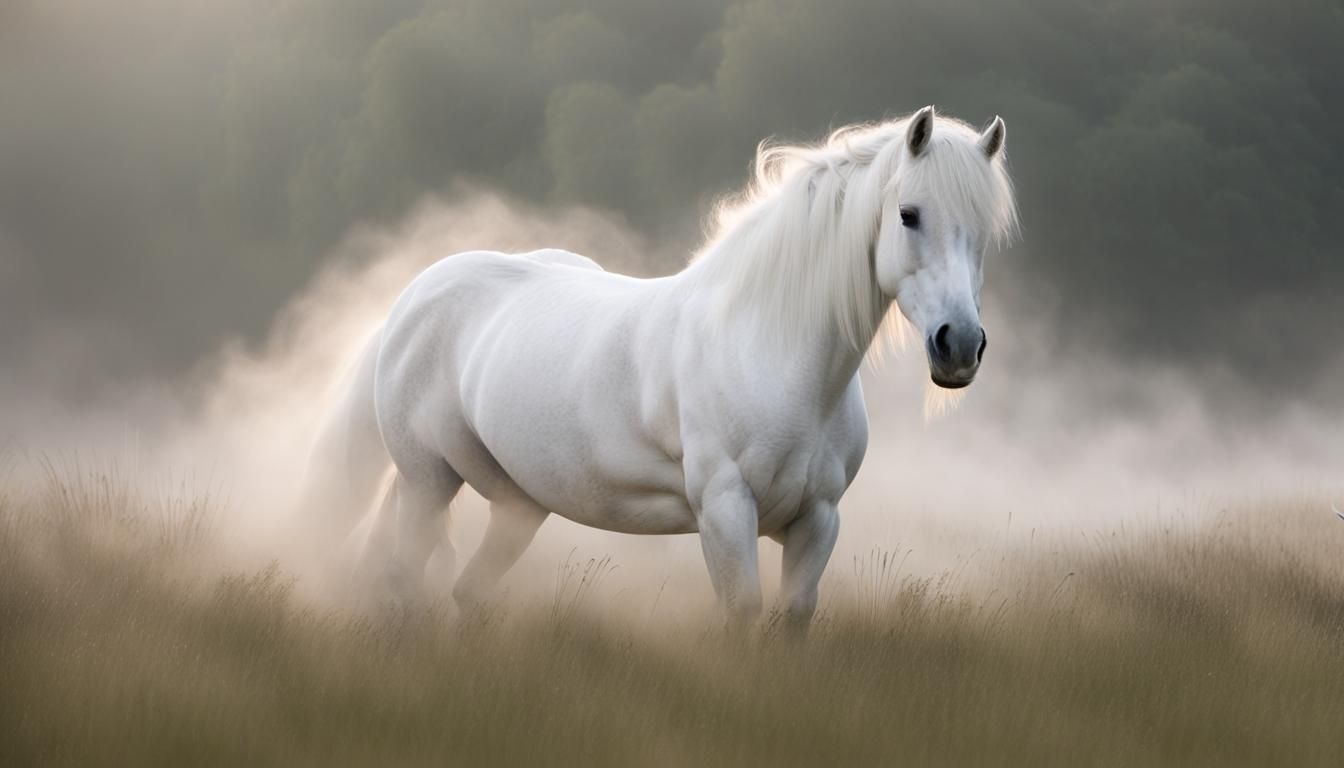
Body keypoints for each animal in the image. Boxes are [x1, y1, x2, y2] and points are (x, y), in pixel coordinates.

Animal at [299, 106, 1019, 627]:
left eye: (984, 234)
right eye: (909, 215)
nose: (959, 347)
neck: (770, 353)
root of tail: (416, 295)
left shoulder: (819, 520)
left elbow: (791, 619)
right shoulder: (724, 513)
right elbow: (741, 616)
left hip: (517, 504)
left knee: (466, 593)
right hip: (427, 481)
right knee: (402, 584)